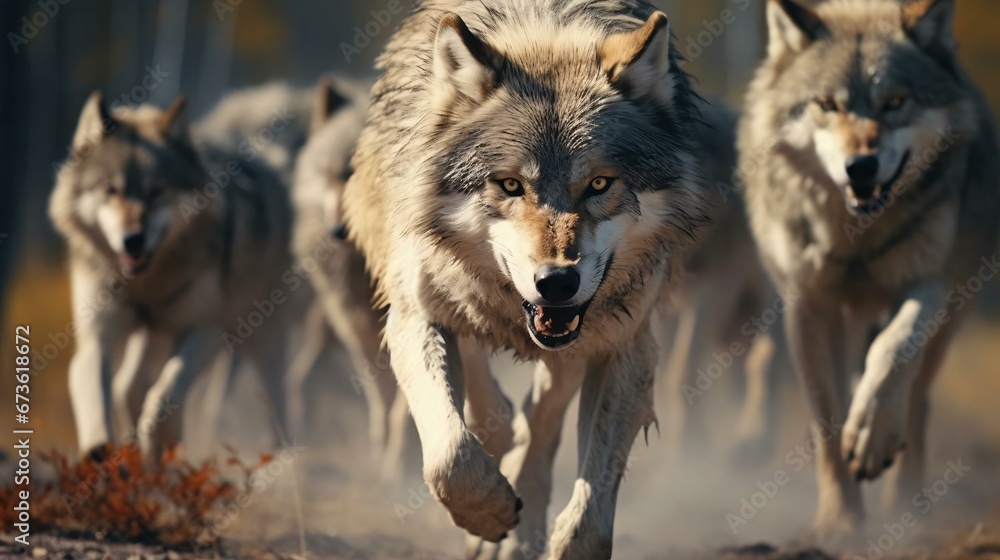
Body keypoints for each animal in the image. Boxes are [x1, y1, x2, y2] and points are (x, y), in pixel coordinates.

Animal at [49, 93, 297, 462]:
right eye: (110, 190)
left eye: (156, 191)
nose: (132, 240)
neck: (146, 283)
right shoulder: (97, 334)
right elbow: (94, 388)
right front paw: (101, 452)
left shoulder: (206, 329)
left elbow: (165, 395)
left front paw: (161, 444)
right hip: (154, 335)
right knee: (127, 386)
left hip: (262, 336)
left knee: (279, 396)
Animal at [343, 1, 708, 557]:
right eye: (511, 185)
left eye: (599, 183)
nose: (556, 282)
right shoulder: (415, 316)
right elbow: (450, 454)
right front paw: (487, 512)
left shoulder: (625, 345)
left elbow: (589, 520)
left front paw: (533, 529)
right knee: (490, 399)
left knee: (541, 419)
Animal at [740, 0, 999, 536]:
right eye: (827, 104)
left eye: (894, 102)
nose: (860, 166)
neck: (856, 241)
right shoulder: (809, 305)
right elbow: (828, 422)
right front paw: (839, 521)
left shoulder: (931, 282)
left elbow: (894, 351)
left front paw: (873, 435)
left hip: (954, 312)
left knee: (919, 395)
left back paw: (906, 505)